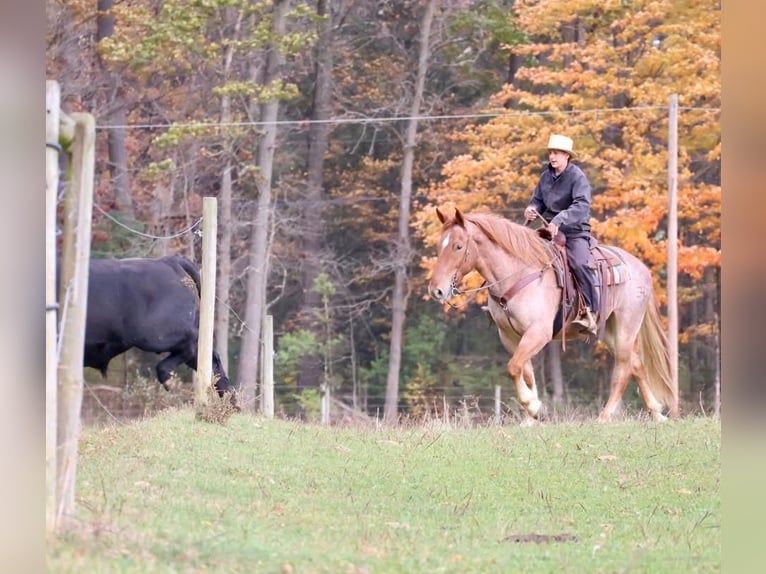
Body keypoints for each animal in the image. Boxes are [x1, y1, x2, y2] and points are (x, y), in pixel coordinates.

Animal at [428, 207, 678, 425]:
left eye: (458, 246)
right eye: (439, 246)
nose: (436, 290)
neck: (518, 274)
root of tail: (641, 268)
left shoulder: (538, 333)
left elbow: (514, 367)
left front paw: (534, 406)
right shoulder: (510, 337)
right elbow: (525, 371)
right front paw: (531, 417)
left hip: (627, 326)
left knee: (624, 367)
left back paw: (605, 416)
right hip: (609, 330)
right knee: (636, 363)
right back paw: (656, 412)